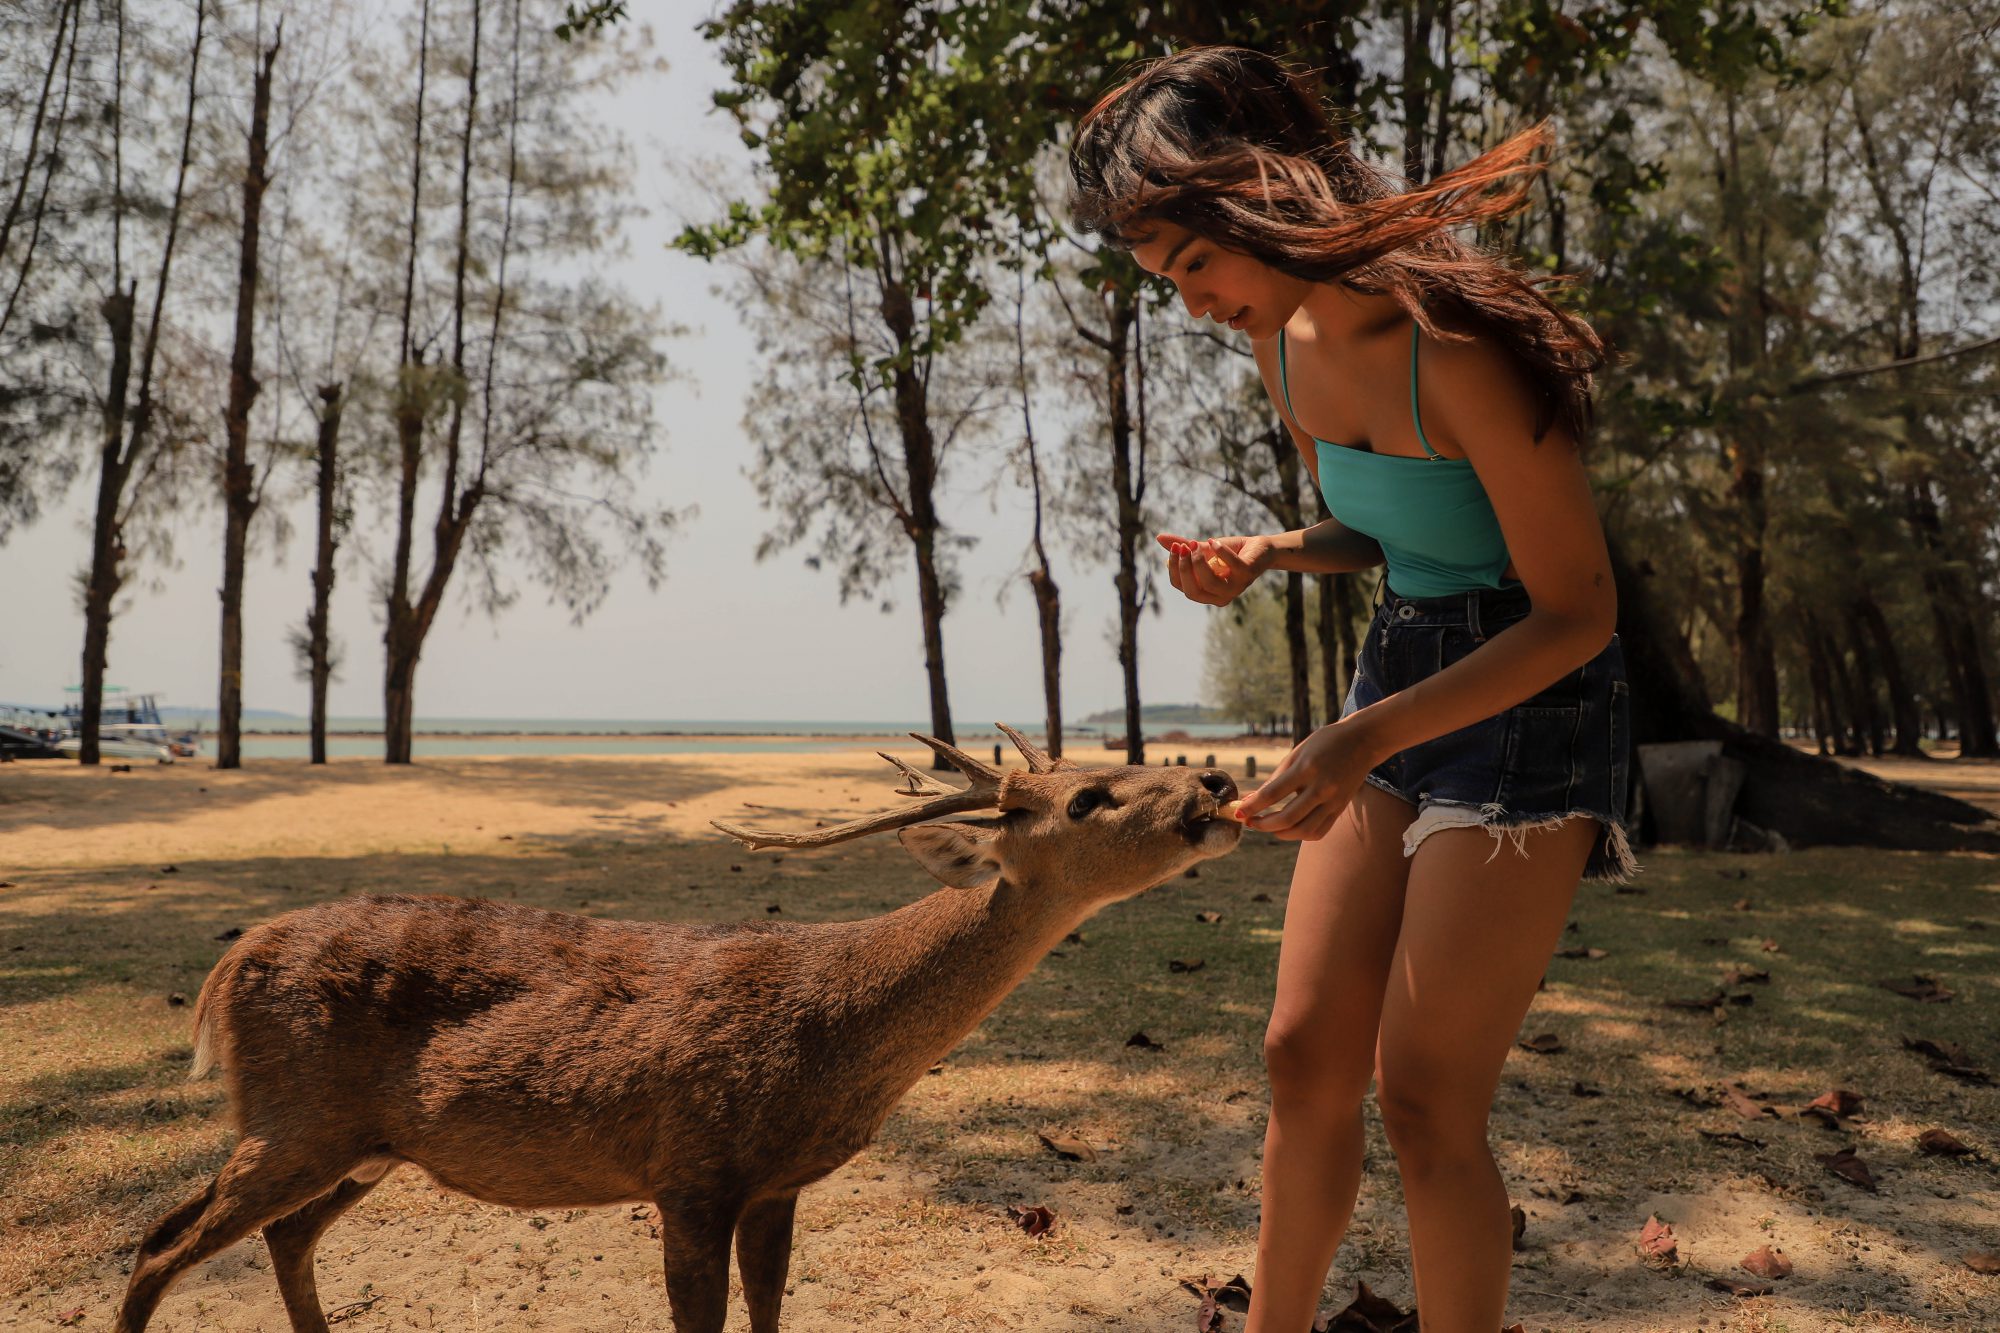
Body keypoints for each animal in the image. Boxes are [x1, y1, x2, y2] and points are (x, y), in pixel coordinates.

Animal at [121, 728, 1232, 1328]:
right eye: (1088, 796)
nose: (1214, 782)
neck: (834, 1037)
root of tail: (226, 968)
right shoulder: (691, 1164)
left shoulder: (775, 1183)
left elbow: (773, 1309)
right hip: (298, 1116)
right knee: (161, 1245)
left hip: (362, 1142)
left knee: (266, 1232)